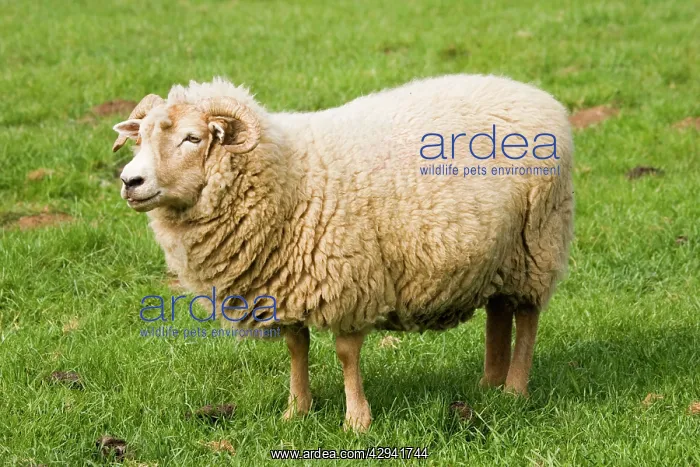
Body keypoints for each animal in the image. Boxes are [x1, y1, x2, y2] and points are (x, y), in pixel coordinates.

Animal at [113, 74, 574, 432]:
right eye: (142, 137)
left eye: (193, 138)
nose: (130, 181)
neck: (290, 177)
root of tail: (535, 94)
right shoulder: (285, 284)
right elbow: (296, 348)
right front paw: (296, 412)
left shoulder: (351, 280)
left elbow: (346, 354)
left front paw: (356, 421)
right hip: (500, 253)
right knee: (499, 310)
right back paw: (488, 385)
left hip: (536, 242)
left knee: (527, 316)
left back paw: (514, 390)